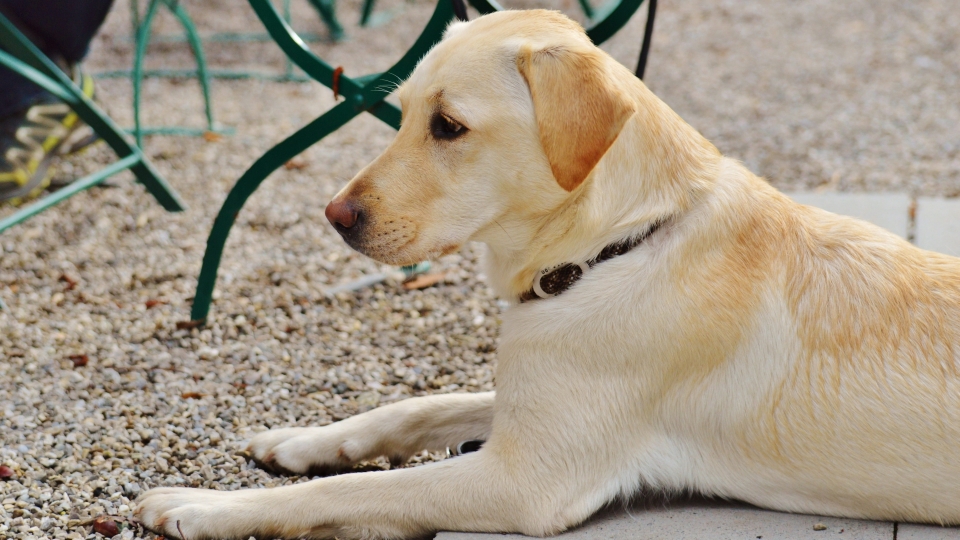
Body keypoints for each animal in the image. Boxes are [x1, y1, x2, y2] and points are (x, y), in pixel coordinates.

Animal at [135, 9, 960, 540]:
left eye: (449, 126)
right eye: (402, 113)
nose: (335, 215)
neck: (616, 245)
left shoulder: (523, 478)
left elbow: (355, 492)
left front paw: (203, 506)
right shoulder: (527, 402)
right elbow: (417, 407)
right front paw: (307, 441)